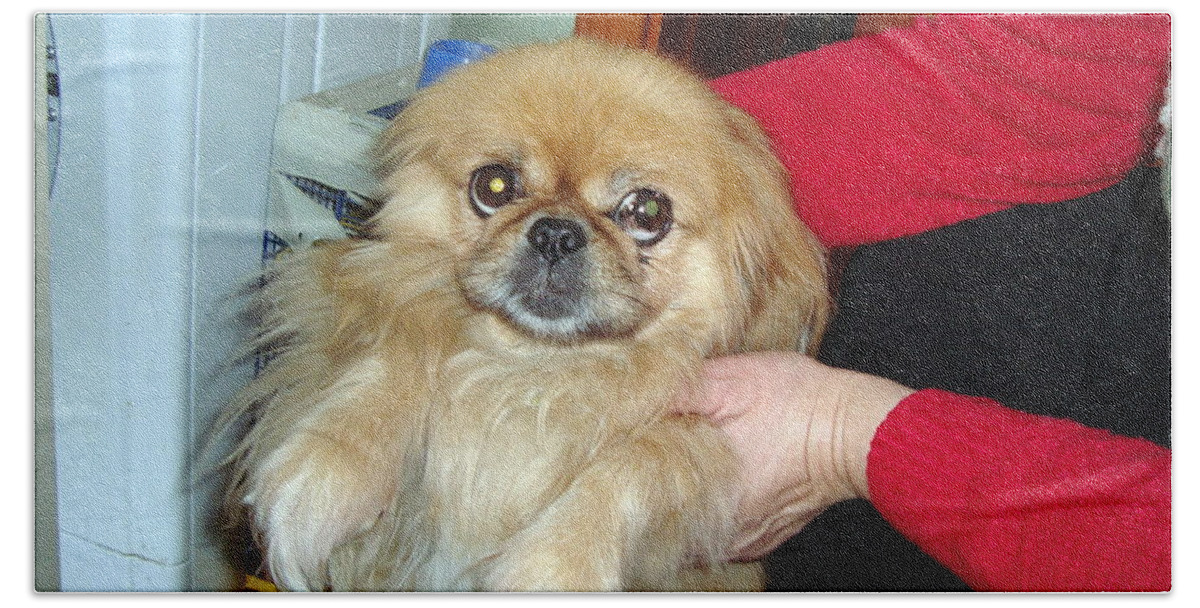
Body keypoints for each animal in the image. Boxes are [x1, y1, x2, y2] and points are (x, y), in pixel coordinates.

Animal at [223, 36, 825, 590]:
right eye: (493, 185)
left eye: (647, 211)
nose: (555, 232)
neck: (534, 369)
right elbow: (401, 353)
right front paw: (324, 473)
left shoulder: (701, 434)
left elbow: (637, 461)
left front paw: (556, 565)